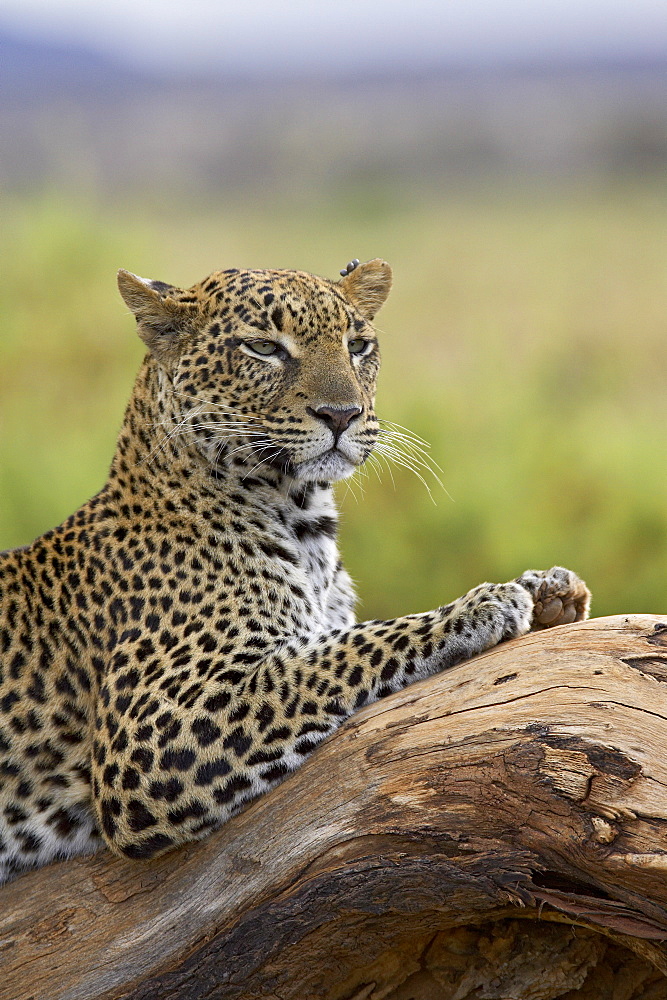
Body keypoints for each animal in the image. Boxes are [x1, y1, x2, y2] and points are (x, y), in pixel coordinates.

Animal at [0, 256, 592, 884]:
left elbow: (329, 643)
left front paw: (549, 591)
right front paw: (480, 605)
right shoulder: (153, 729)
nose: (343, 415)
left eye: (357, 345)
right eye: (264, 348)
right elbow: (336, 654)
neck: (305, 520)